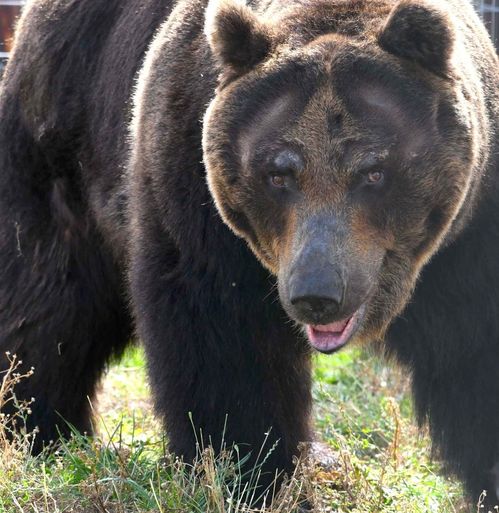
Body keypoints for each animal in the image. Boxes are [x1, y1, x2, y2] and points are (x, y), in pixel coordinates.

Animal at [0, 0, 498, 506]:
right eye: (278, 174)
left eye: (373, 171)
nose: (317, 294)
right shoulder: (196, 199)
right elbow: (224, 343)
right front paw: (255, 475)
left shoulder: (470, 236)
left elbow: (476, 357)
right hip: (62, 150)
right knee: (50, 306)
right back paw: (36, 429)